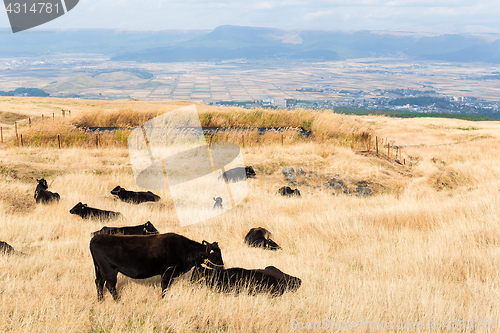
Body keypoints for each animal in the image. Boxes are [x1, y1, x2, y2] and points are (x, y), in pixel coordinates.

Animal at [89, 232, 225, 300]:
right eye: (216, 256)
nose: (222, 267)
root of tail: (96, 237)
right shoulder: (167, 273)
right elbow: (164, 287)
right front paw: (162, 299)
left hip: (100, 270)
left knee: (99, 282)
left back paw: (100, 300)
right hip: (109, 270)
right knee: (110, 285)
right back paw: (119, 301)